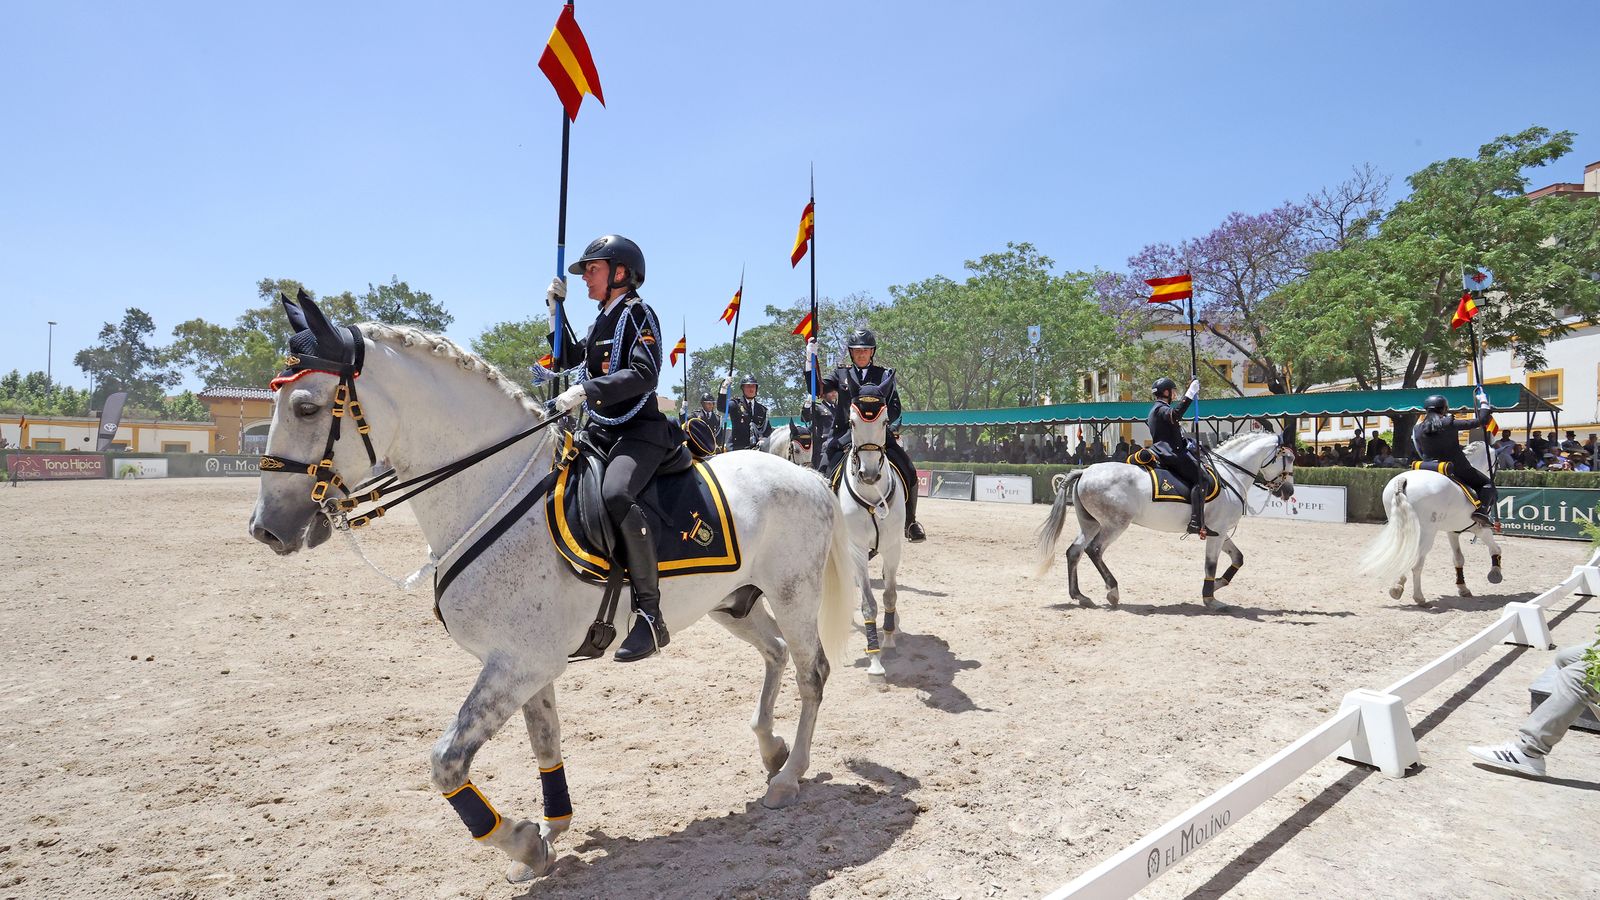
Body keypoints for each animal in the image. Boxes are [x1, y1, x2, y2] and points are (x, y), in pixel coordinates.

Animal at [247, 297, 857, 884]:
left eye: (305, 407)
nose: (265, 528)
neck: (490, 491)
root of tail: (805, 474)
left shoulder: (518, 664)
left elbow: (446, 761)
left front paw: (519, 839)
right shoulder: (527, 663)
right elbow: (546, 741)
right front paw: (549, 829)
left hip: (793, 595)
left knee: (812, 673)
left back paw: (789, 776)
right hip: (732, 604)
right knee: (775, 653)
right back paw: (771, 749)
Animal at [832, 383, 906, 677]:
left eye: (885, 421)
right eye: (852, 422)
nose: (870, 474)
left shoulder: (893, 547)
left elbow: (889, 594)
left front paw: (889, 639)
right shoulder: (856, 549)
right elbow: (868, 604)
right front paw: (874, 659)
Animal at [1036, 432, 1296, 612]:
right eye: (1289, 458)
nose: (1288, 491)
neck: (1229, 475)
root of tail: (1086, 471)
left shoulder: (1219, 532)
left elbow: (1238, 558)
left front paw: (1217, 585)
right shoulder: (1218, 532)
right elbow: (1210, 565)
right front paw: (1210, 598)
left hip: (1091, 524)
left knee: (1074, 551)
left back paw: (1080, 596)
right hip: (1114, 524)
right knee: (1094, 550)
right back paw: (1113, 591)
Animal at [1357, 441, 1504, 606]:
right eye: (1497, 463)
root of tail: (1403, 480)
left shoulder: (1452, 531)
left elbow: (1458, 558)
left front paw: (1463, 588)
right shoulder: (1479, 528)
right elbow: (1495, 548)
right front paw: (1495, 573)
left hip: (1404, 528)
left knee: (1406, 554)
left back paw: (1397, 587)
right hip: (1427, 534)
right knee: (1416, 565)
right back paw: (1419, 598)